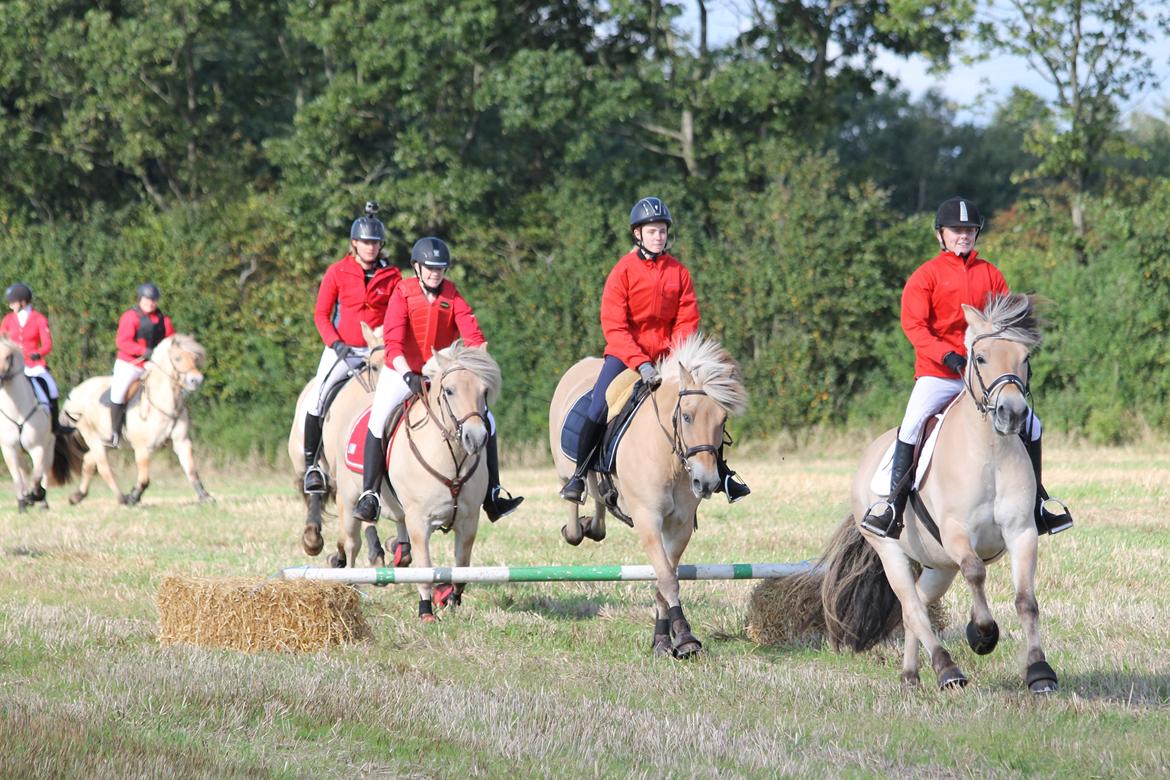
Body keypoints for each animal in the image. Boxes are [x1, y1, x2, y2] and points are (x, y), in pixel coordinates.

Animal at [59, 334, 211, 507]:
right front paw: (133, 497)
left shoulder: (182, 442)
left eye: (195, 358)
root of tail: (75, 392)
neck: (165, 403)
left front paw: (205, 496)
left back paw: (78, 495)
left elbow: (191, 471)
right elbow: (144, 479)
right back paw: (121, 498)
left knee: (89, 461)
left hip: (104, 443)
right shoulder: (142, 448)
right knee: (104, 468)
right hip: (92, 437)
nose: (196, 380)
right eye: (177, 358)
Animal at [549, 336, 748, 659]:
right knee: (573, 497)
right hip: (564, 470)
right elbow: (666, 577)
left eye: (722, 419)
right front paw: (685, 636)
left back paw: (595, 524)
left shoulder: (679, 526)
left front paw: (664, 640)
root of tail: (581, 366)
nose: (706, 483)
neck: (668, 457)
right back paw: (576, 526)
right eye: (686, 416)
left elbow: (665, 579)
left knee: (599, 498)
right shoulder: (648, 519)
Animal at [814, 294, 1062, 696]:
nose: (1012, 414)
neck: (989, 451)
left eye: (1024, 358)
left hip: (938, 565)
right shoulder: (956, 532)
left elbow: (1026, 601)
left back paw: (911, 673)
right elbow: (976, 571)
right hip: (892, 552)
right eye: (980, 358)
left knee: (917, 602)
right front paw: (982, 634)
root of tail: (868, 455)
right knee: (913, 606)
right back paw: (947, 669)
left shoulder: (1022, 532)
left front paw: (1039, 670)